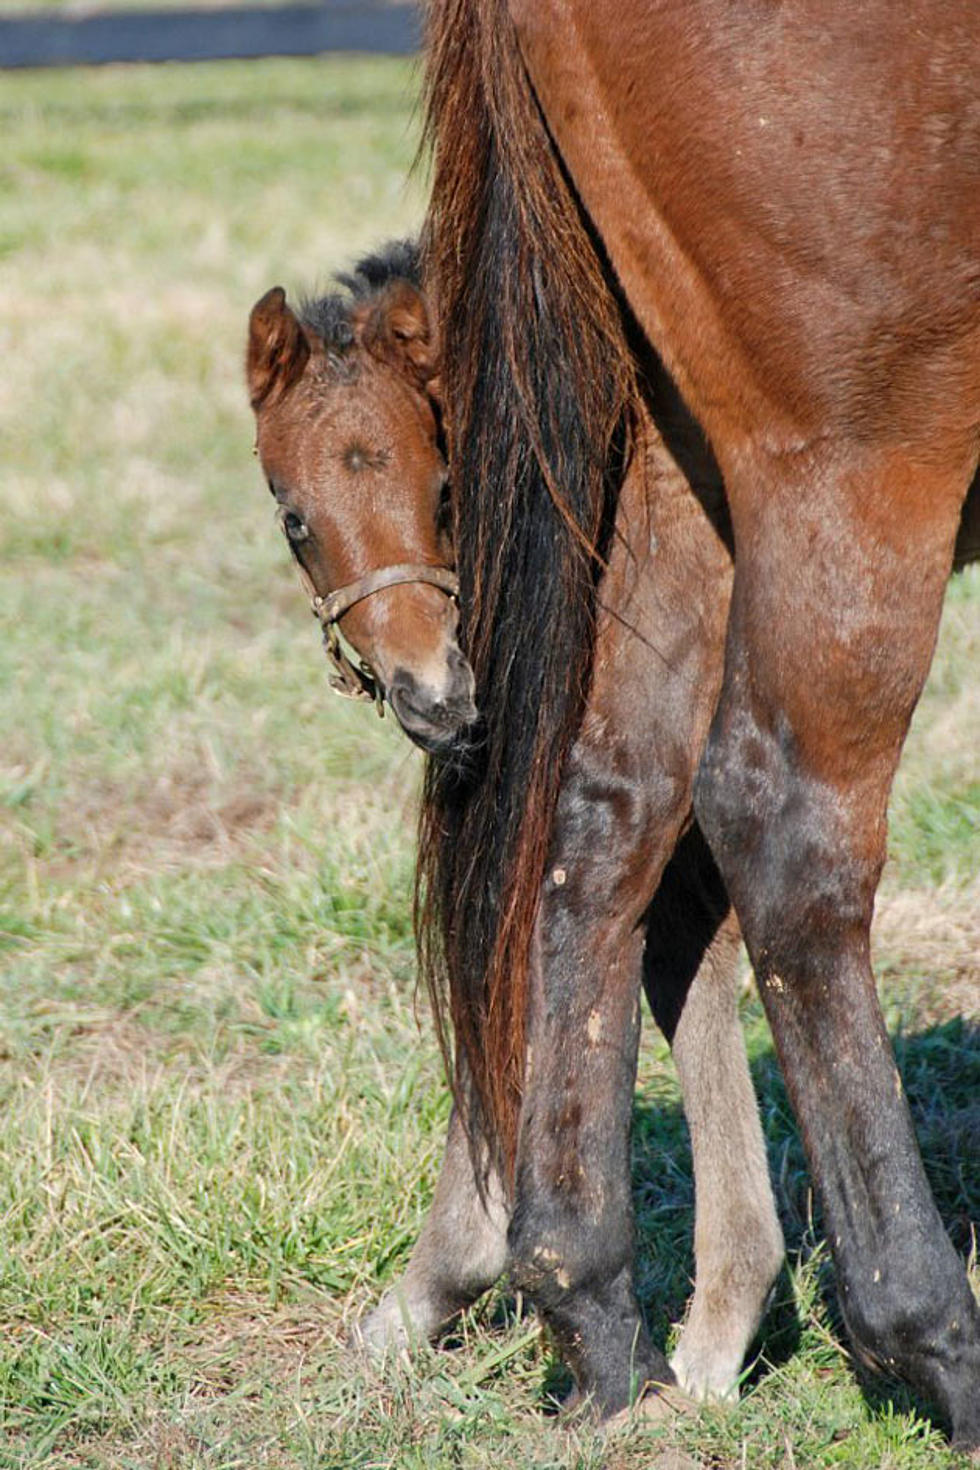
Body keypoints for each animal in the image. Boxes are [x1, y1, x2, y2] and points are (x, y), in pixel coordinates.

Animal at [420, 0, 980, 1446]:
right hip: (852, 450)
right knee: (784, 827)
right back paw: (929, 1334)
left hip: (680, 456)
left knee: (604, 806)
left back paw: (591, 1304)